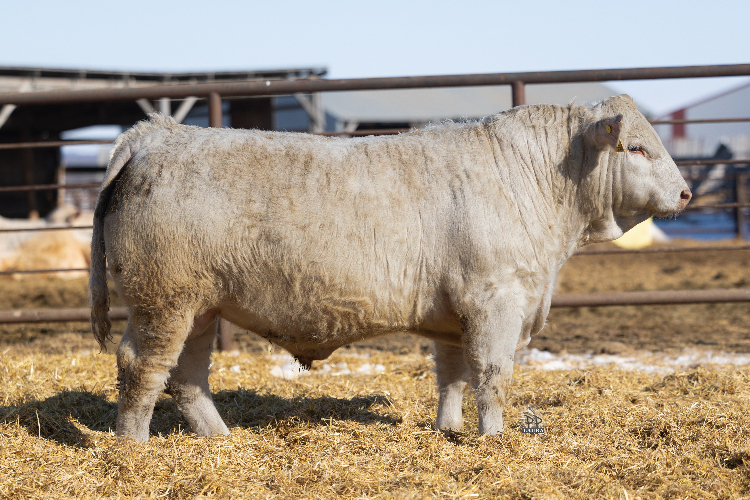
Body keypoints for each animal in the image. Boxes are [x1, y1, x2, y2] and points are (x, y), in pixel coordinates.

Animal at [89, 95, 690, 442]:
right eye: (637, 148)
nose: (685, 192)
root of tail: (160, 133)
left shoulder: (457, 313)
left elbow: (452, 375)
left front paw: (449, 429)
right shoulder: (495, 302)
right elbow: (492, 376)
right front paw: (493, 439)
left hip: (200, 307)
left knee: (187, 375)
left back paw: (220, 439)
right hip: (164, 301)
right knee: (142, 366)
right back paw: (132, 445)